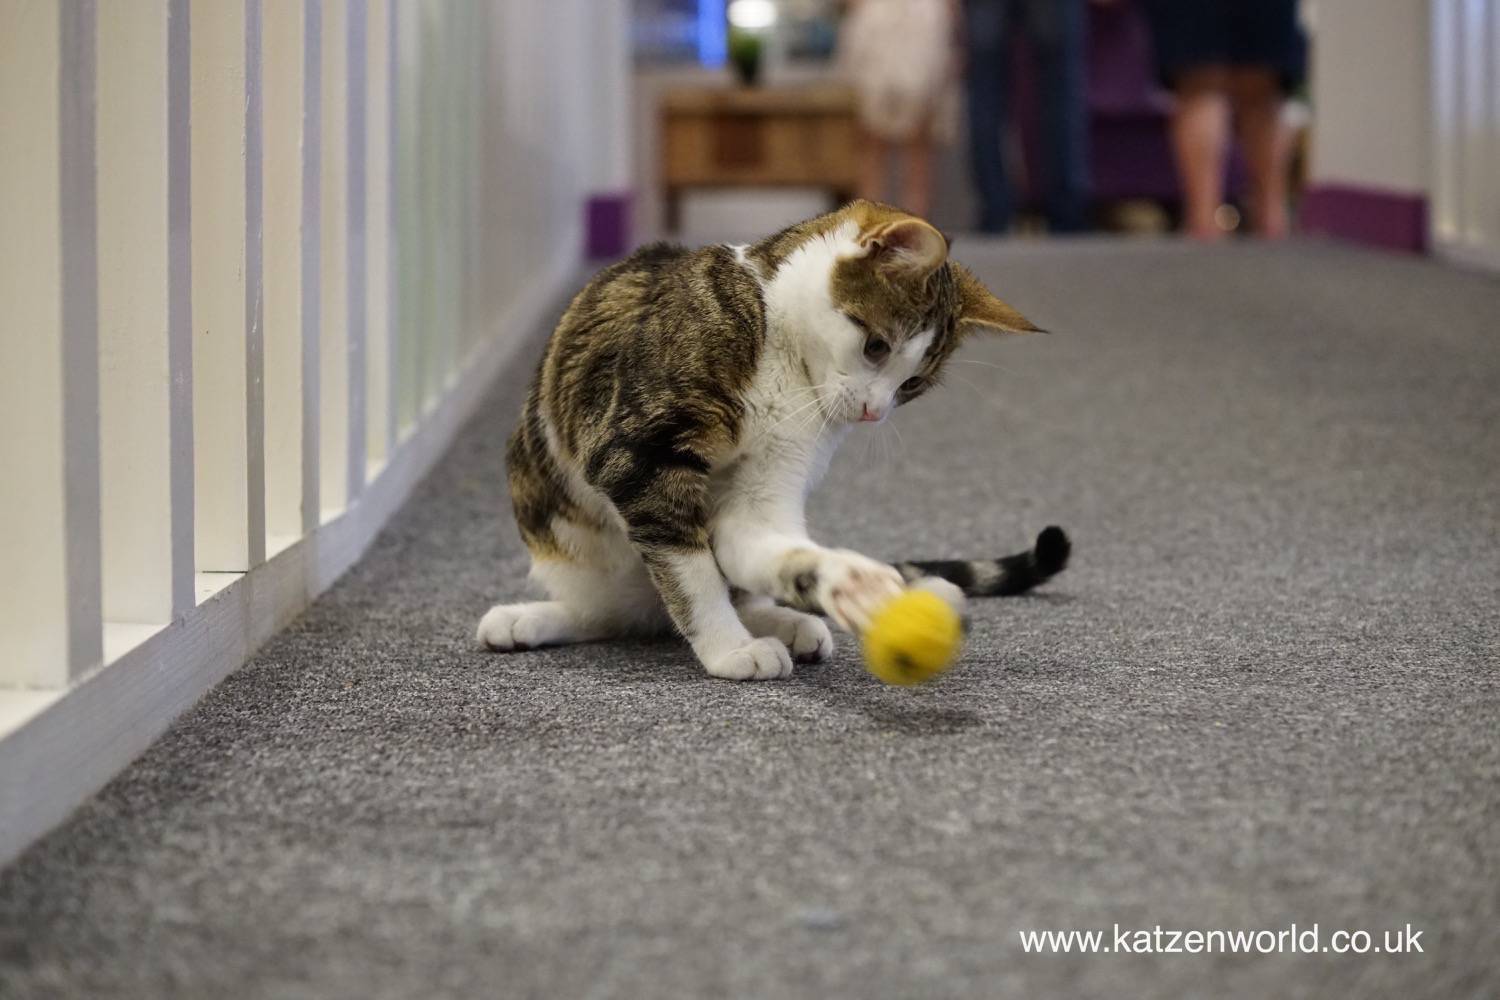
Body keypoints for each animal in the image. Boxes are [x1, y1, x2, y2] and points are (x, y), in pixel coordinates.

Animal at [477, 202, 1068, 680]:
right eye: (876, 346)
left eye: (913, 384)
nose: (874, 412)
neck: (775, 341)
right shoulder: (638, 454)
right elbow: (692, 572)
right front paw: (729, 648)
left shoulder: (774, 472)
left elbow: (756, 540)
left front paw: (845, 581)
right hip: (577, 553)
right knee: (604, 612)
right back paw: (526, 619)